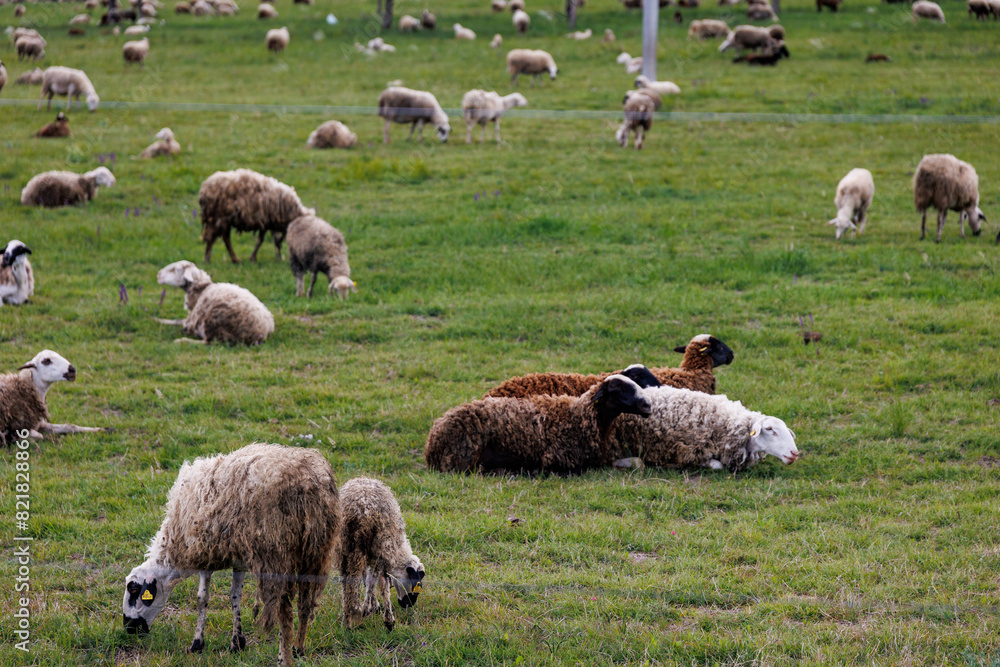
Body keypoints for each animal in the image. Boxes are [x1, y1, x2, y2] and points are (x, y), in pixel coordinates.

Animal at [122, 443, 341, 667]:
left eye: (133, 589)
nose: (129, 628)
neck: (174, 544)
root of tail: (307, 480)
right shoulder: (239, 559)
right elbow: (235, 595)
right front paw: (237, 643)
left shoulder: (205, 554)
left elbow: (202, 598)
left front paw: (197, 644)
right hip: (316, 552)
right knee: (305, 603)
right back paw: (298, 648)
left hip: (276, 555)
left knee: (285, 613)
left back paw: (283, 658)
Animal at [339, 477, 425, 630]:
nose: (408, 605)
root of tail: (361, 508)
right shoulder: (383, 553)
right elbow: (379, 583)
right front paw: (381, 615)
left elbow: (366, 578)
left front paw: (372, 606)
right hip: (379, 544)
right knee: (376, 581)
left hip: (344, 546)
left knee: (347, 582)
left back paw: (347, 619)